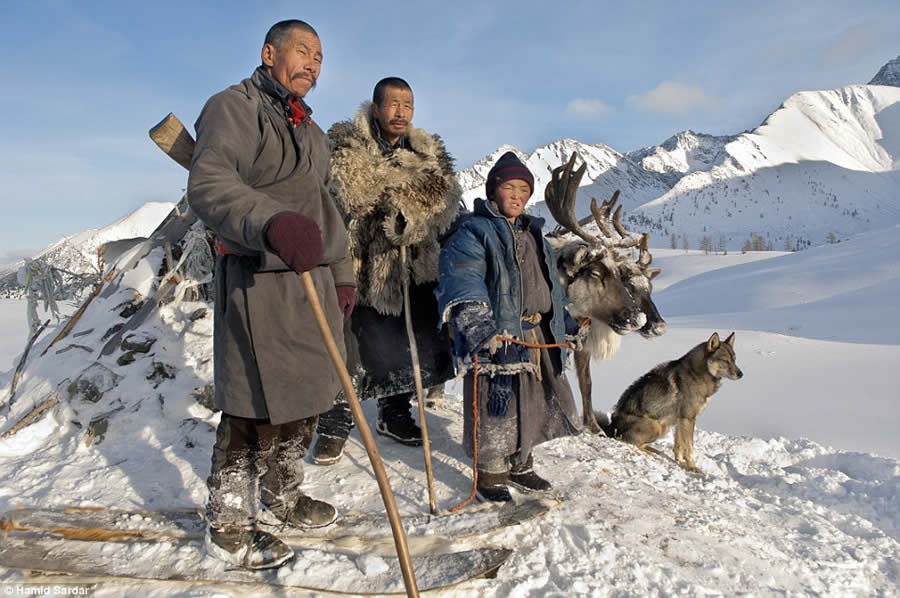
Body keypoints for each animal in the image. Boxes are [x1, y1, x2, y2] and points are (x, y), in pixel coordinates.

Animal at [596, 332, 744, 474]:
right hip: (657, 426)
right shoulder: (688, 418)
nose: (741, 374)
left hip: (663, 426)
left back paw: (656, 451)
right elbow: (688, 447)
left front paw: (680, 462)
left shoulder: (680, 420)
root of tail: (611, 426)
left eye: (734, 360)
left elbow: (679, 446)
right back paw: (650, 453)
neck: (698, 374)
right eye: (725, 361)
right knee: (629, 442)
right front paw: (692, 467)